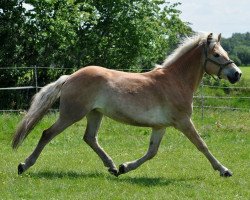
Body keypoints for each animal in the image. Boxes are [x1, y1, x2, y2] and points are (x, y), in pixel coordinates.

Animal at [12, 32, 241, 177]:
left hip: (95, 113)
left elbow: (151, 152)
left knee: (90, 138)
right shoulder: (183, 121)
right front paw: (224, 170)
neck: (176, 81)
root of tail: (70, 77)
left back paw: (112, 167)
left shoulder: (160, 126)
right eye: (217, 55)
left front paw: (124, 167)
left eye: (225, 53)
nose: (237, 74)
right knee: (47, 134)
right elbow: (202, 145)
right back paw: (24, 165)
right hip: (71, 114)